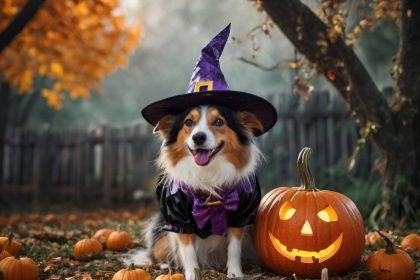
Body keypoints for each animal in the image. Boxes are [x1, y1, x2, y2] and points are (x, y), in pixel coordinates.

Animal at [139, 104, 264, 278]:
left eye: (219, 122)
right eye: (188, 122)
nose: (198, 137)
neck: (208, 173)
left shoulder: (242, 215)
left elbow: (234, 249)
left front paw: (235, 273)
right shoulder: (179, 219)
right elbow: (188, 251)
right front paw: (192, 274)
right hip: (162, 237)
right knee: (155, 255)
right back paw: (166, 267)